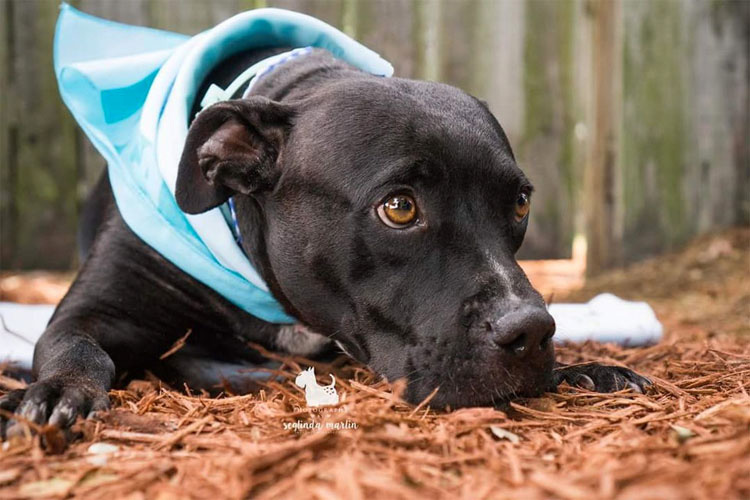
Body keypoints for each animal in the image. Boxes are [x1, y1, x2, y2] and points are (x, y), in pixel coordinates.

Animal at [0, 47, 652, 438]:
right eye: (399, 207)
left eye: (519, 202)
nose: (533, 332)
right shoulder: (99, 307)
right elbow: (75, 345)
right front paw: (60, 390)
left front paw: (585, 368)